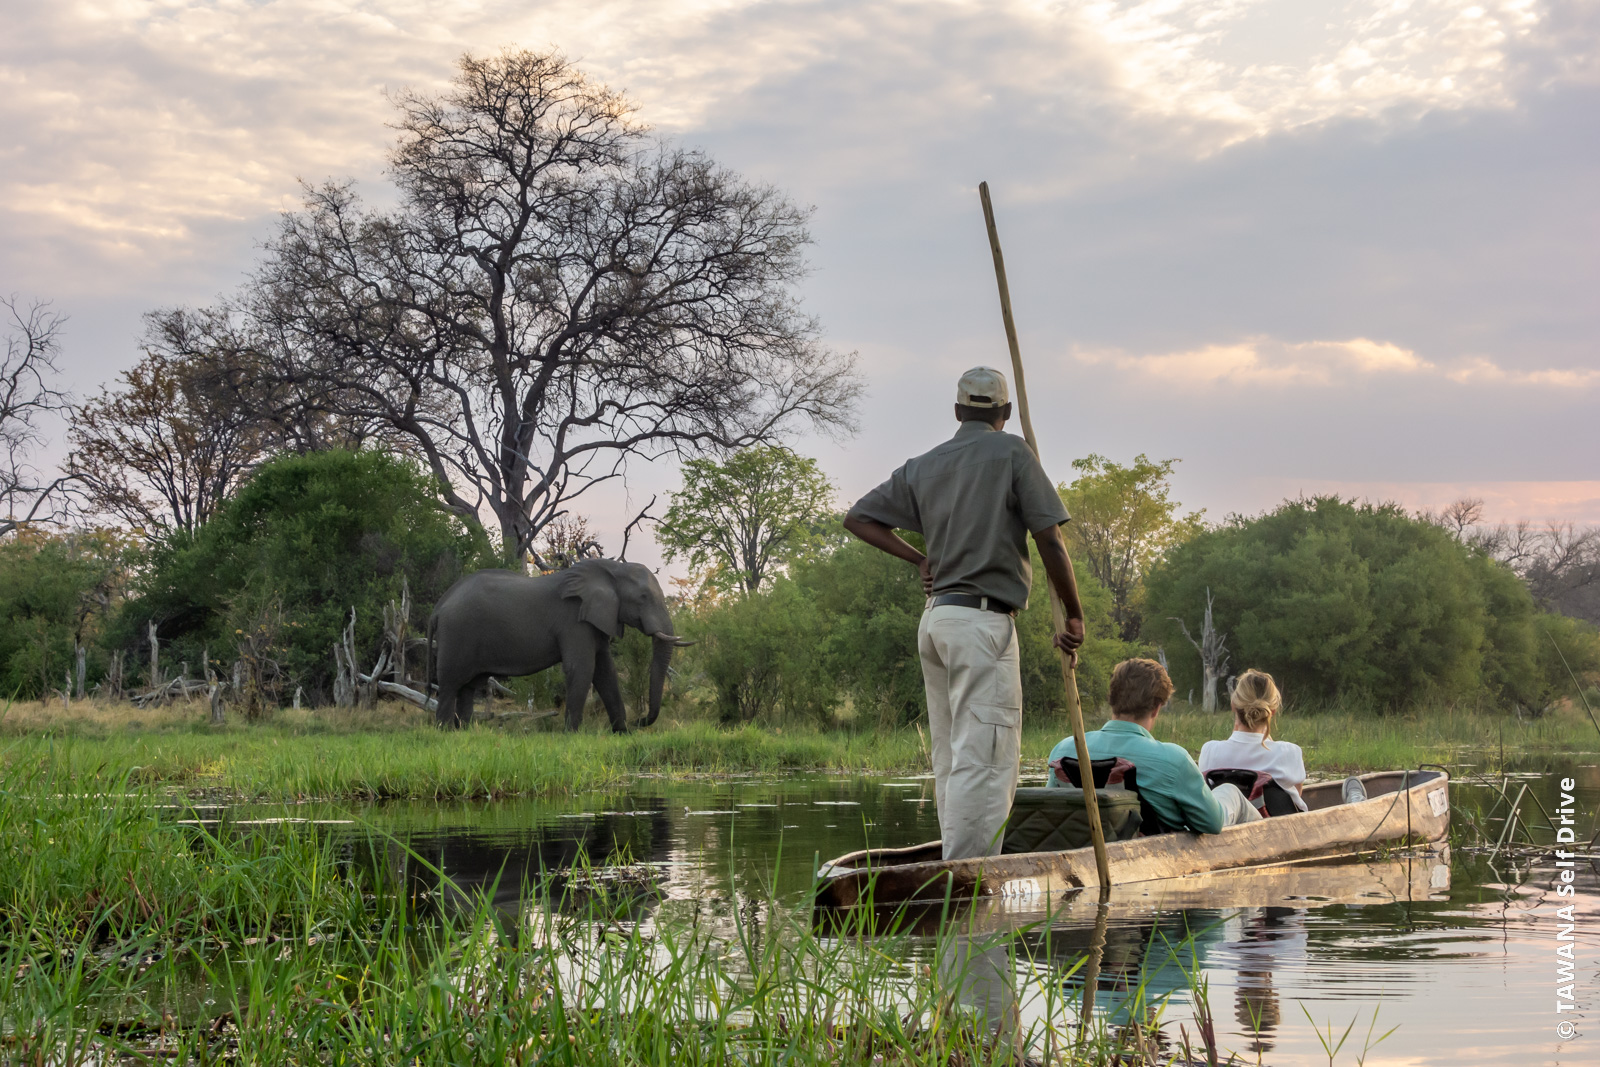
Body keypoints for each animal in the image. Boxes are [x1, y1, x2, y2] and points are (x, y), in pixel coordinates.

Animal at [425, 563, 694, 729]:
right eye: (643, 598)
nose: (639, 722)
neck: (613, 569)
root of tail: (438, 607)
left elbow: (605, 672)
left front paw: (622, 732)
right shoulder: (574, 621)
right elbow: (582, 668)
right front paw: (571, 734)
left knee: (467, 687)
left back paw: (464, 731)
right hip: (457, 634)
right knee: (449, 684)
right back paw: (444, 732)